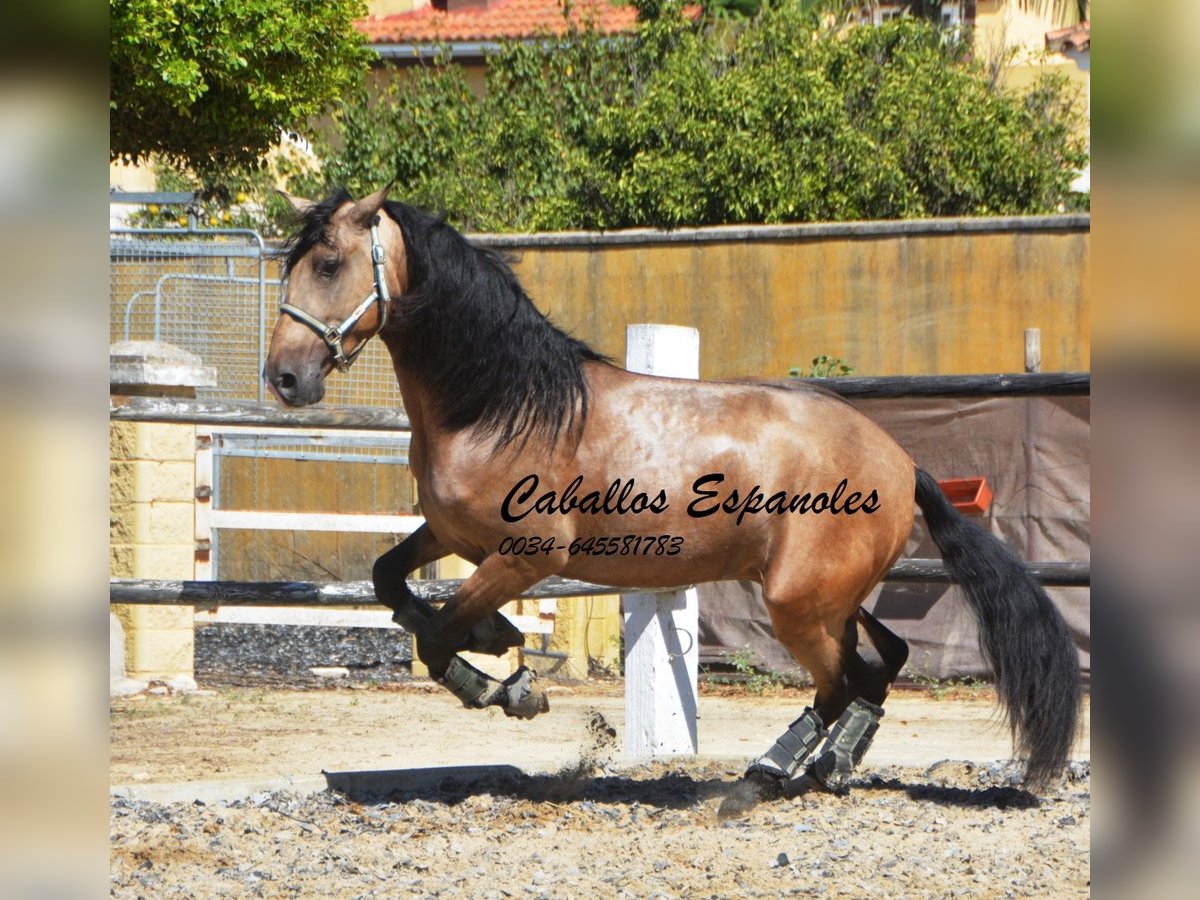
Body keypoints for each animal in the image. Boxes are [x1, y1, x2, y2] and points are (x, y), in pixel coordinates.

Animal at [267, 184, 1084, 816]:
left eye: (330, 264)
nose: (284, 378)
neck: (502, 406)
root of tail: (902, 460)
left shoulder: (528, 555)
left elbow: (438, 634)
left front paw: (511, 686)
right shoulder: (452, 536)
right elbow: (390, 582)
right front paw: (497, 639)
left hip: (797, 601)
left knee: (845, 678)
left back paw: (761, 779)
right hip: (832, 596)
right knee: (885, 661)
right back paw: (828, 765)